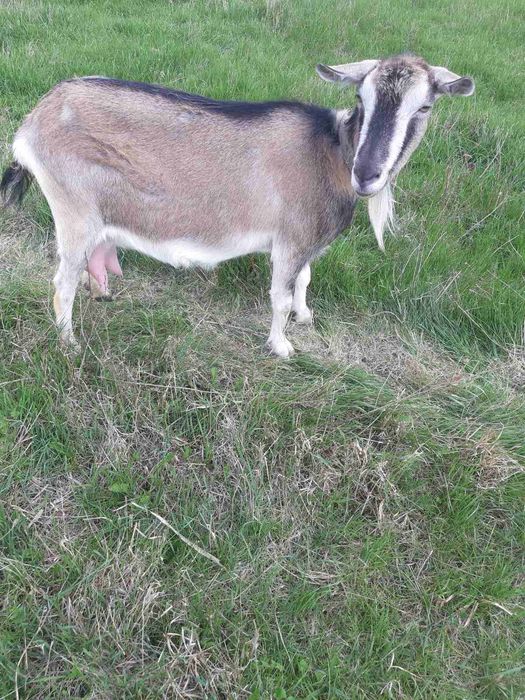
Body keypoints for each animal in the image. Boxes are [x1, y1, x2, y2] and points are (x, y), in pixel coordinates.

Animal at [1, 54, 474, 356]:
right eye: (361, 99)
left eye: (425, 106)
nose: (368, 174)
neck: (331, 152)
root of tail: (33, 123)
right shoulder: (290, 238)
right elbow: (279, 295)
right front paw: (282, 346)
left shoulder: (304, 240)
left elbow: (303, 280)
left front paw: (305, 316)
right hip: (74, 208)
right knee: (61, 281)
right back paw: (69, 343)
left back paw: (99, 294)